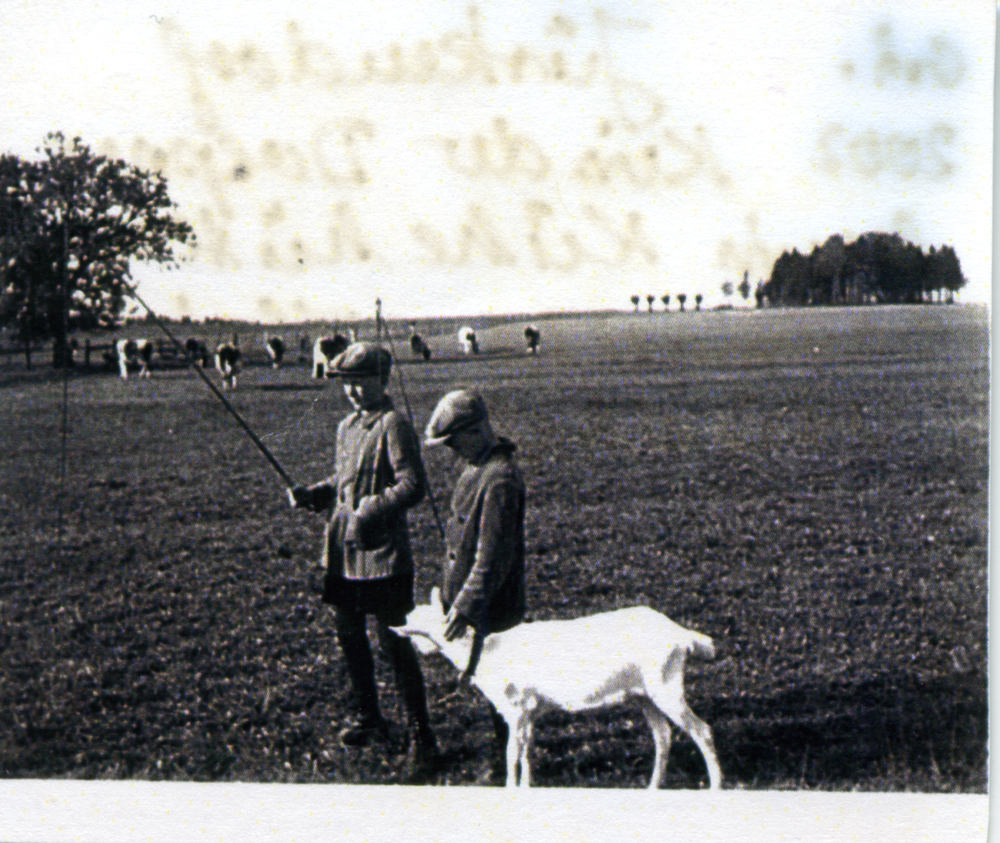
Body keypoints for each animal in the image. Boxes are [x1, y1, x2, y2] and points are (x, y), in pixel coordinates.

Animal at [394, 588, 724, 792]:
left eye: (413, 621)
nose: (395, 626)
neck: (486, 652)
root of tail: (684, 637)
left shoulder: (516, 707)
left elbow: (512, 753)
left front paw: (511, 788)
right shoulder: (529, 710)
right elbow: (526, 750)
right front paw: (527, 787)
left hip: (666, 685)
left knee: (702, 730)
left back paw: (715, 787)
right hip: (645, 694)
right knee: (663, 735)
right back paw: (653, 787)